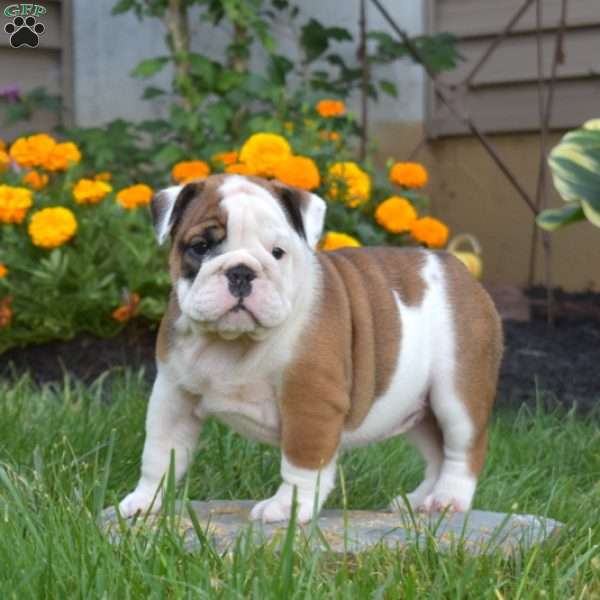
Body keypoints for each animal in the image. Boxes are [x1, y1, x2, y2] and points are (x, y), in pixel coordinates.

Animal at [117, 173, 502, 520]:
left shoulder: (310, 400)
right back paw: (418, 500)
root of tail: (460, 270)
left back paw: (447, 499)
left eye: (277, 253)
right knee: (437, 452)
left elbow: (302, 463)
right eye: (200, 247)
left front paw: (287, 508)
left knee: (463, 449)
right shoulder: (173, 396)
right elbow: (159, 454)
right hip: (418, 406)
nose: (241, 272)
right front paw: (144, 501)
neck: (234, 343)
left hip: (456, 392)